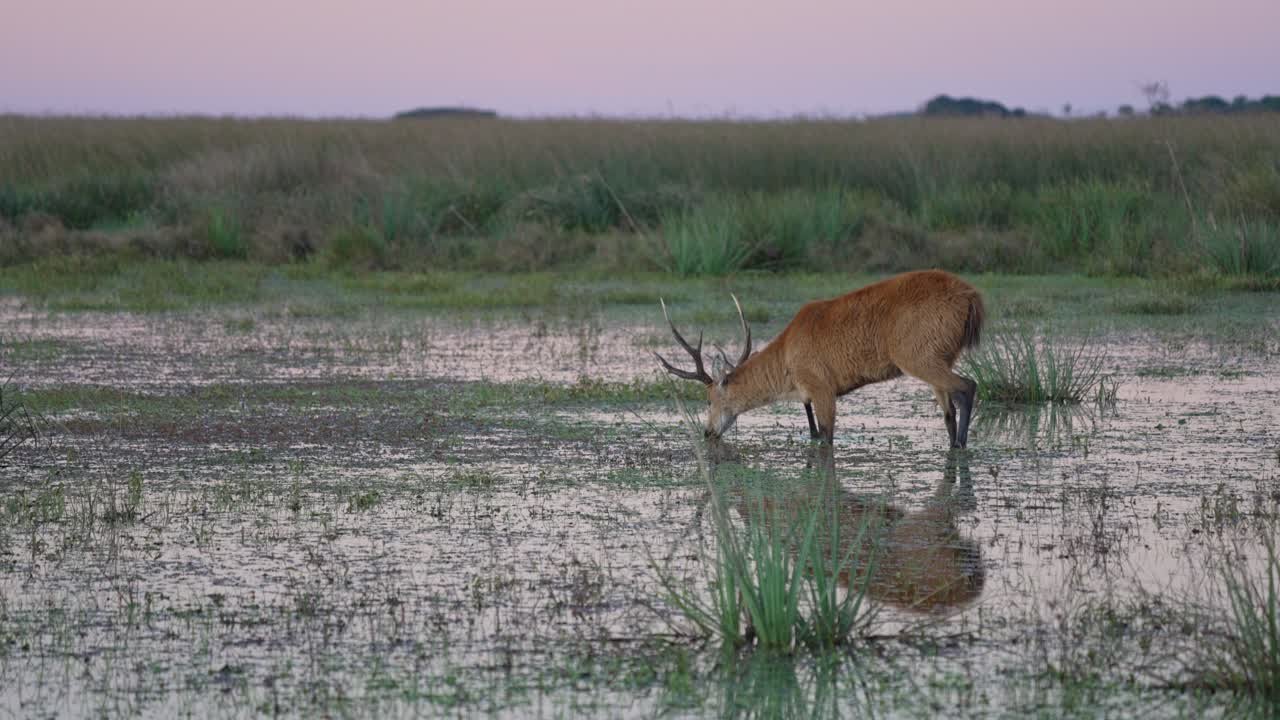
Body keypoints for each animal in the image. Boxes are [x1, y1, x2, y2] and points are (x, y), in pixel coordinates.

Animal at [655, 269, 984, 449]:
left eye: (708, 399)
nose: (707, 431)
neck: (787, 363)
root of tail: (971, 296)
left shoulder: (822, 386)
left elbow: (827, 437)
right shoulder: (808, 396)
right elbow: (814, 434)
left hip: (917, 355)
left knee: (967, 386)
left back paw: (961, 445)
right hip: (941, 356)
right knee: (948, 412)